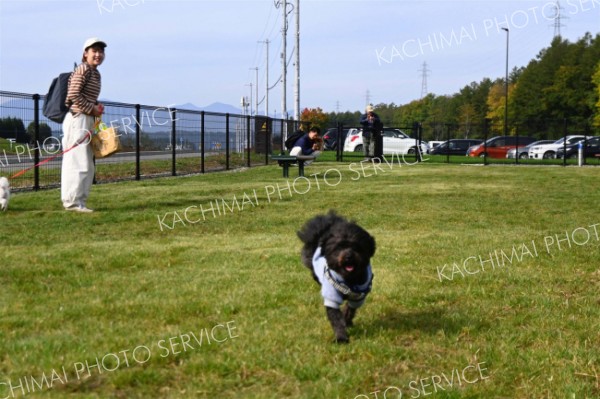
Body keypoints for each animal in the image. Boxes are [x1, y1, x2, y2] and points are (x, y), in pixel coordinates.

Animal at [298, 211, 378, 346]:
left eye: (357, 247)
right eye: (339, 247)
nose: (348, 256)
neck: (348, 280)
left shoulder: (357, 297)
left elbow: (349, 311)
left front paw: (347, 322)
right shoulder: (332, 297)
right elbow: (336, 319)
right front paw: (341, 337)